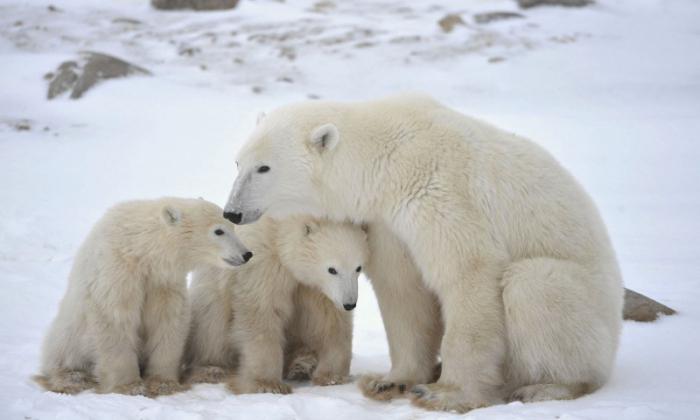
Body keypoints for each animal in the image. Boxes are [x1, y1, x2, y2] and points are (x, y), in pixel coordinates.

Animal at [224, 93, 624, 412]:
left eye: (264, 167)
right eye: (238, 162)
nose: (232, 212)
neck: (388, 158)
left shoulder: (440, 192)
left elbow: (468, 272)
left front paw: (444, 393)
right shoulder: (388, 222)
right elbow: (403, 290)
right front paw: (389, 381)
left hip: (590, 311)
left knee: (535, 286)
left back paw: (547, 386)